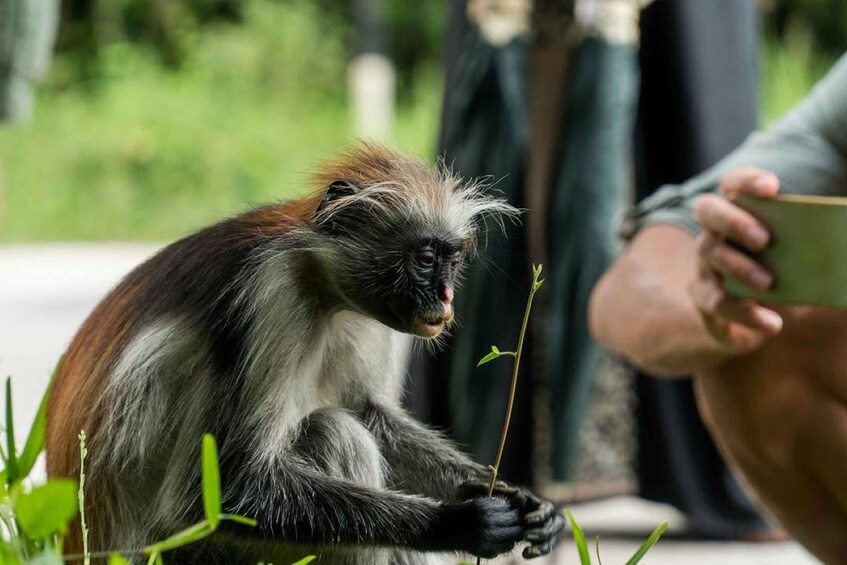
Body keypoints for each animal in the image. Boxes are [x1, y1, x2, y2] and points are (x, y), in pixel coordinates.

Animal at [46, 144, 565, 564]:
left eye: (452, 260)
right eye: (424, 258)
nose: (446, 296)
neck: (320, 284)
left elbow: (369, 411)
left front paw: (522, 499)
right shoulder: (268, 293)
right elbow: (227, 492)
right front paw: (458, 522)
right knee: (334, 433)